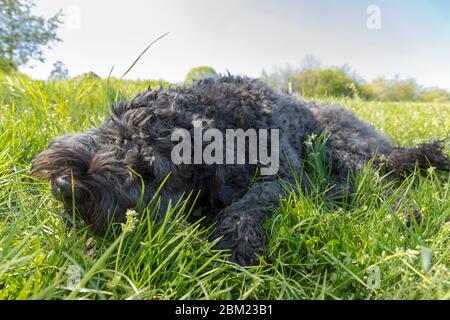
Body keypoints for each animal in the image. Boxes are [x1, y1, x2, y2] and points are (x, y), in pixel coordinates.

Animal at [30, 77, 446, 264]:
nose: (64, 185)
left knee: (375, 182)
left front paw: (236, 242)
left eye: (149, 169)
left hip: (339, 145)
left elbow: (251, 202)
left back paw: (402, 211)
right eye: (110, 133)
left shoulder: (286, 180)